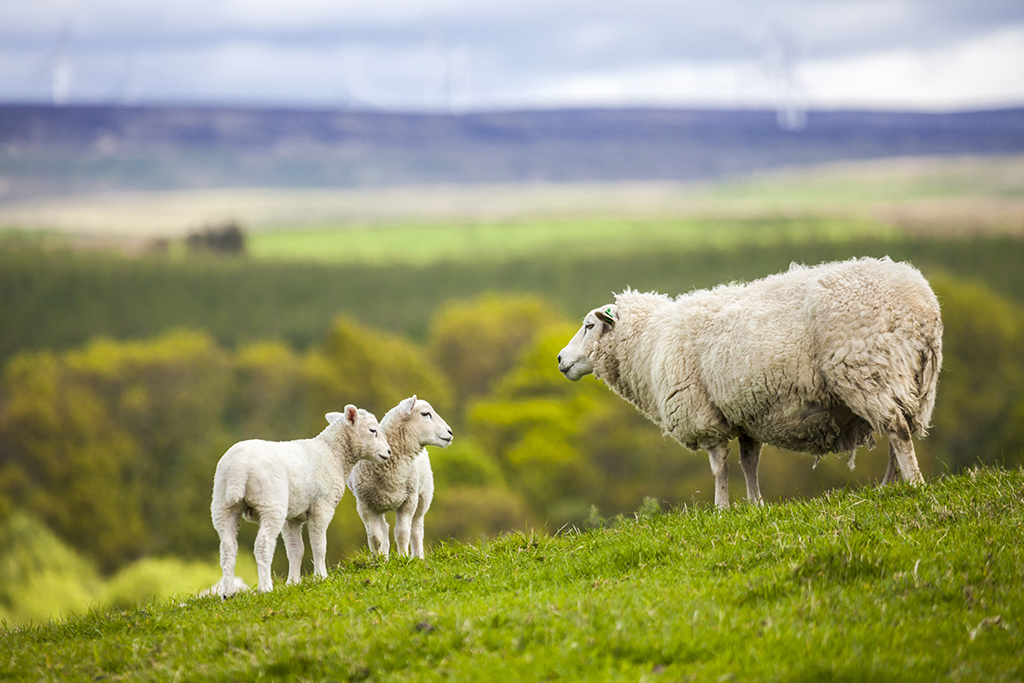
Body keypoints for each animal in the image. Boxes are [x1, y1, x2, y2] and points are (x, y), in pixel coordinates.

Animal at [206, 405, 387, 598]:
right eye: (373, 430)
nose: (388, 452)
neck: (333, 454)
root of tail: (239, 468)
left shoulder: (292, 517)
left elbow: (295, 550)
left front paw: (293, 583)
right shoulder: (322, 506)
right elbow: (319, 544)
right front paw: (321, 577)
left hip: (223, 505)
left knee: (227, 548)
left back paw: (228, 593)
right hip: (271, 504)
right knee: (263, 545)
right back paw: (265, 588)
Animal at [348, 395, 452, 561]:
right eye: (425, 414)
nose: (450, 432)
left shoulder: (409, 500)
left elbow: (403, 533)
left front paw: (403, 558)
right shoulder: (365, 504)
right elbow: (375, 537)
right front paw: (379, 561)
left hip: (423, 496)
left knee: (416, 528)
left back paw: (418, 557)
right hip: (379, 502)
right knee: (384, 529)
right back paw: (384, 556)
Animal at [557, 255, 937, 507]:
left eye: (589, 326)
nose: (560, 360)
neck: (650, 342)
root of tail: (920, 302)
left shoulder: (704, 415)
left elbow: (719, 467)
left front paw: (721, 508)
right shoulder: (745, 414)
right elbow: (749, 461)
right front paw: (756, 505)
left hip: (867, 369)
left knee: (897, 430)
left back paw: (912, 485)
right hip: (905, 377)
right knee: (898, 428)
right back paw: (890, 486)